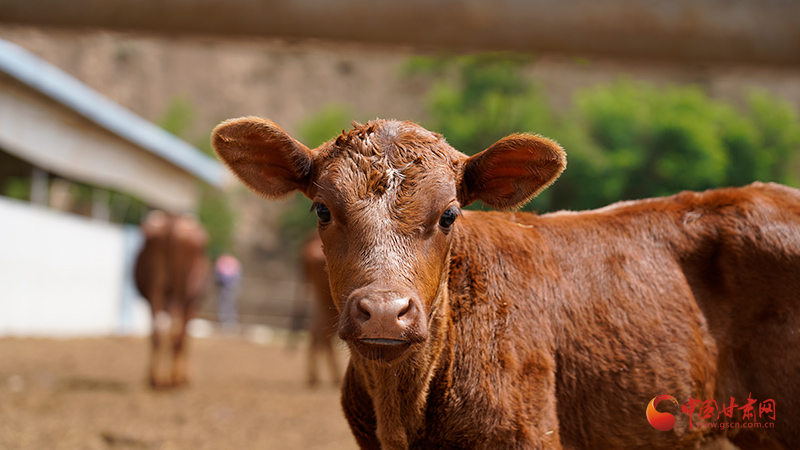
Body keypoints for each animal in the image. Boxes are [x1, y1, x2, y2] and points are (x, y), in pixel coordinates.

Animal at [134, 209, 209, 388]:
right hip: (180, 293)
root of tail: (172, 221)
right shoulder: (192, 303)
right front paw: (184, 376)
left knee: (159, 331)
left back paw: (156, 378)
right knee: (176, 331)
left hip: (156, 289)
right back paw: (173, 378)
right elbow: (185, 338)